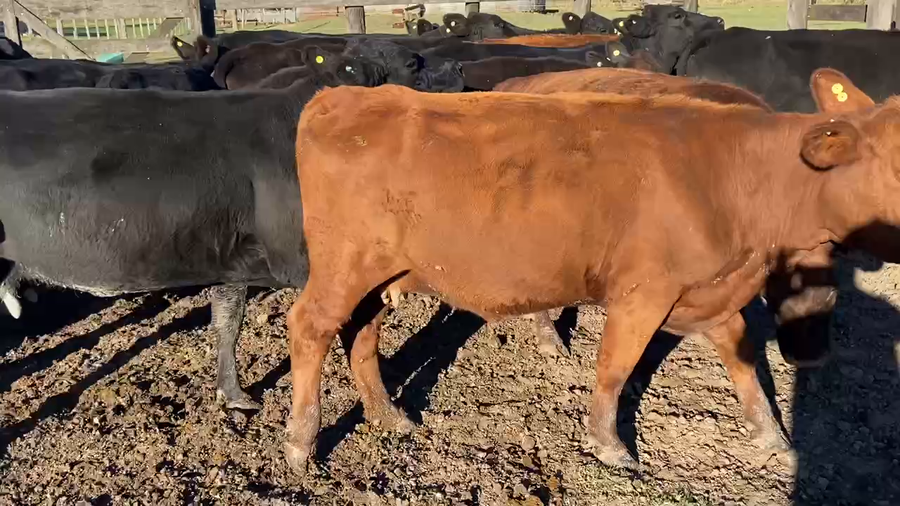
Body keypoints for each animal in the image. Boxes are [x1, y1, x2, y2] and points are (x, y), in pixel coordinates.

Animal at [282, 69, 897, 474]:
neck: (735, 176)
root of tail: (341, 96)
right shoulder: (643, 292)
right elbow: (615, 368)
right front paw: (609, 444)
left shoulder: (710, 290)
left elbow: (744, 362)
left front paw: (773, 437)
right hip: (343, 266)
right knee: (310, 327)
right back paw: (301, 442)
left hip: (377, 275)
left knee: (361, 332)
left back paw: (388, 416)